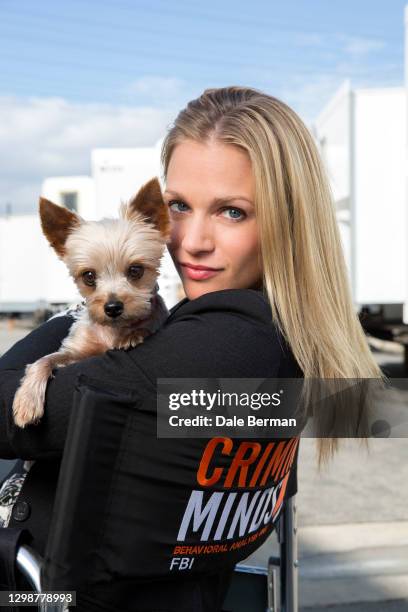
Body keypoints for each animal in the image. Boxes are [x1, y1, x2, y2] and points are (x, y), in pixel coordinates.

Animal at [13, 176, 171, 430]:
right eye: (88, 276)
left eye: (135, 270)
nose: (113, 307)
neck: (112, 331)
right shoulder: (76, 352)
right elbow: (44, 360)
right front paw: (27, 399)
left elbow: (147, 324)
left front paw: (134, 334)